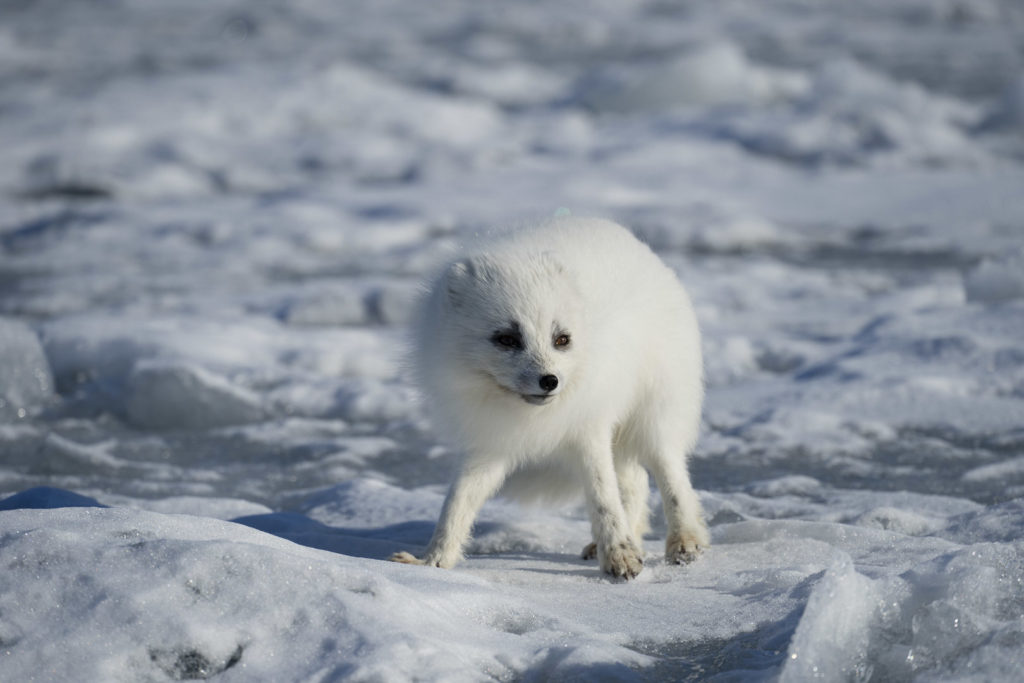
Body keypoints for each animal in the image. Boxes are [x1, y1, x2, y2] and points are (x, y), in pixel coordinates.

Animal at [387, 216, 708, 581]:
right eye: (507, 339)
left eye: (562, 339)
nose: (550, 381)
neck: (531, 416)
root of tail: (641, 248)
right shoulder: (489, 442)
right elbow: (457, 502)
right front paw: (433, 562)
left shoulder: (589, 428)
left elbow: (603, 496)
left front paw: (620, 557)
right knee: (636, 481)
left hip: (655, 414)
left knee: (672, 476)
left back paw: (685, 542)